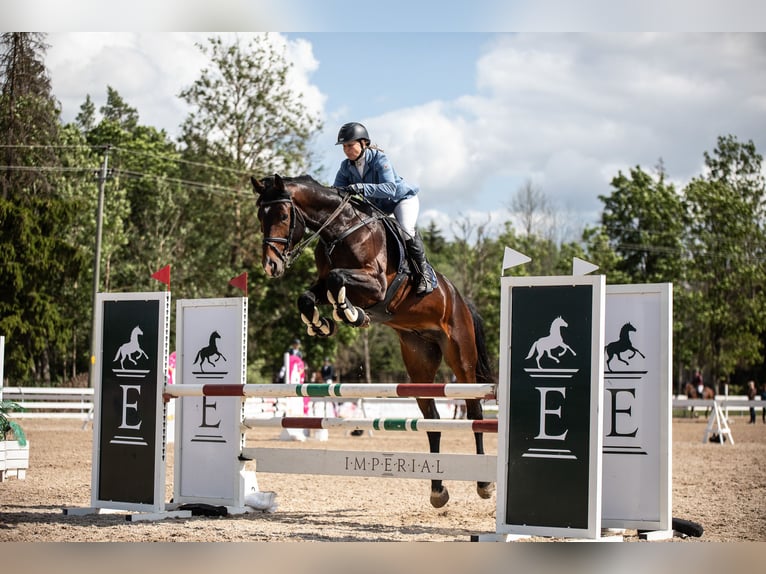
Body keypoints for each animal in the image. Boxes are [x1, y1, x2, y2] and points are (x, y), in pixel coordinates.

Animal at [249, 174, 496, 508]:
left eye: (284, 215)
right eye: (260, 216)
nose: (271, 266)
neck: (340, 230)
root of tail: (460, 299)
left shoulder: (376, 284)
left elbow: (337, 279)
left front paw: (349, 313)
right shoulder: (324, 282)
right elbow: (311, 294)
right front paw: (322, 323)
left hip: (462, 358)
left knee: (474, 411)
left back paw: (484, 484)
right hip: (418, 362)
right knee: (431, 420)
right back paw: (437, 491)